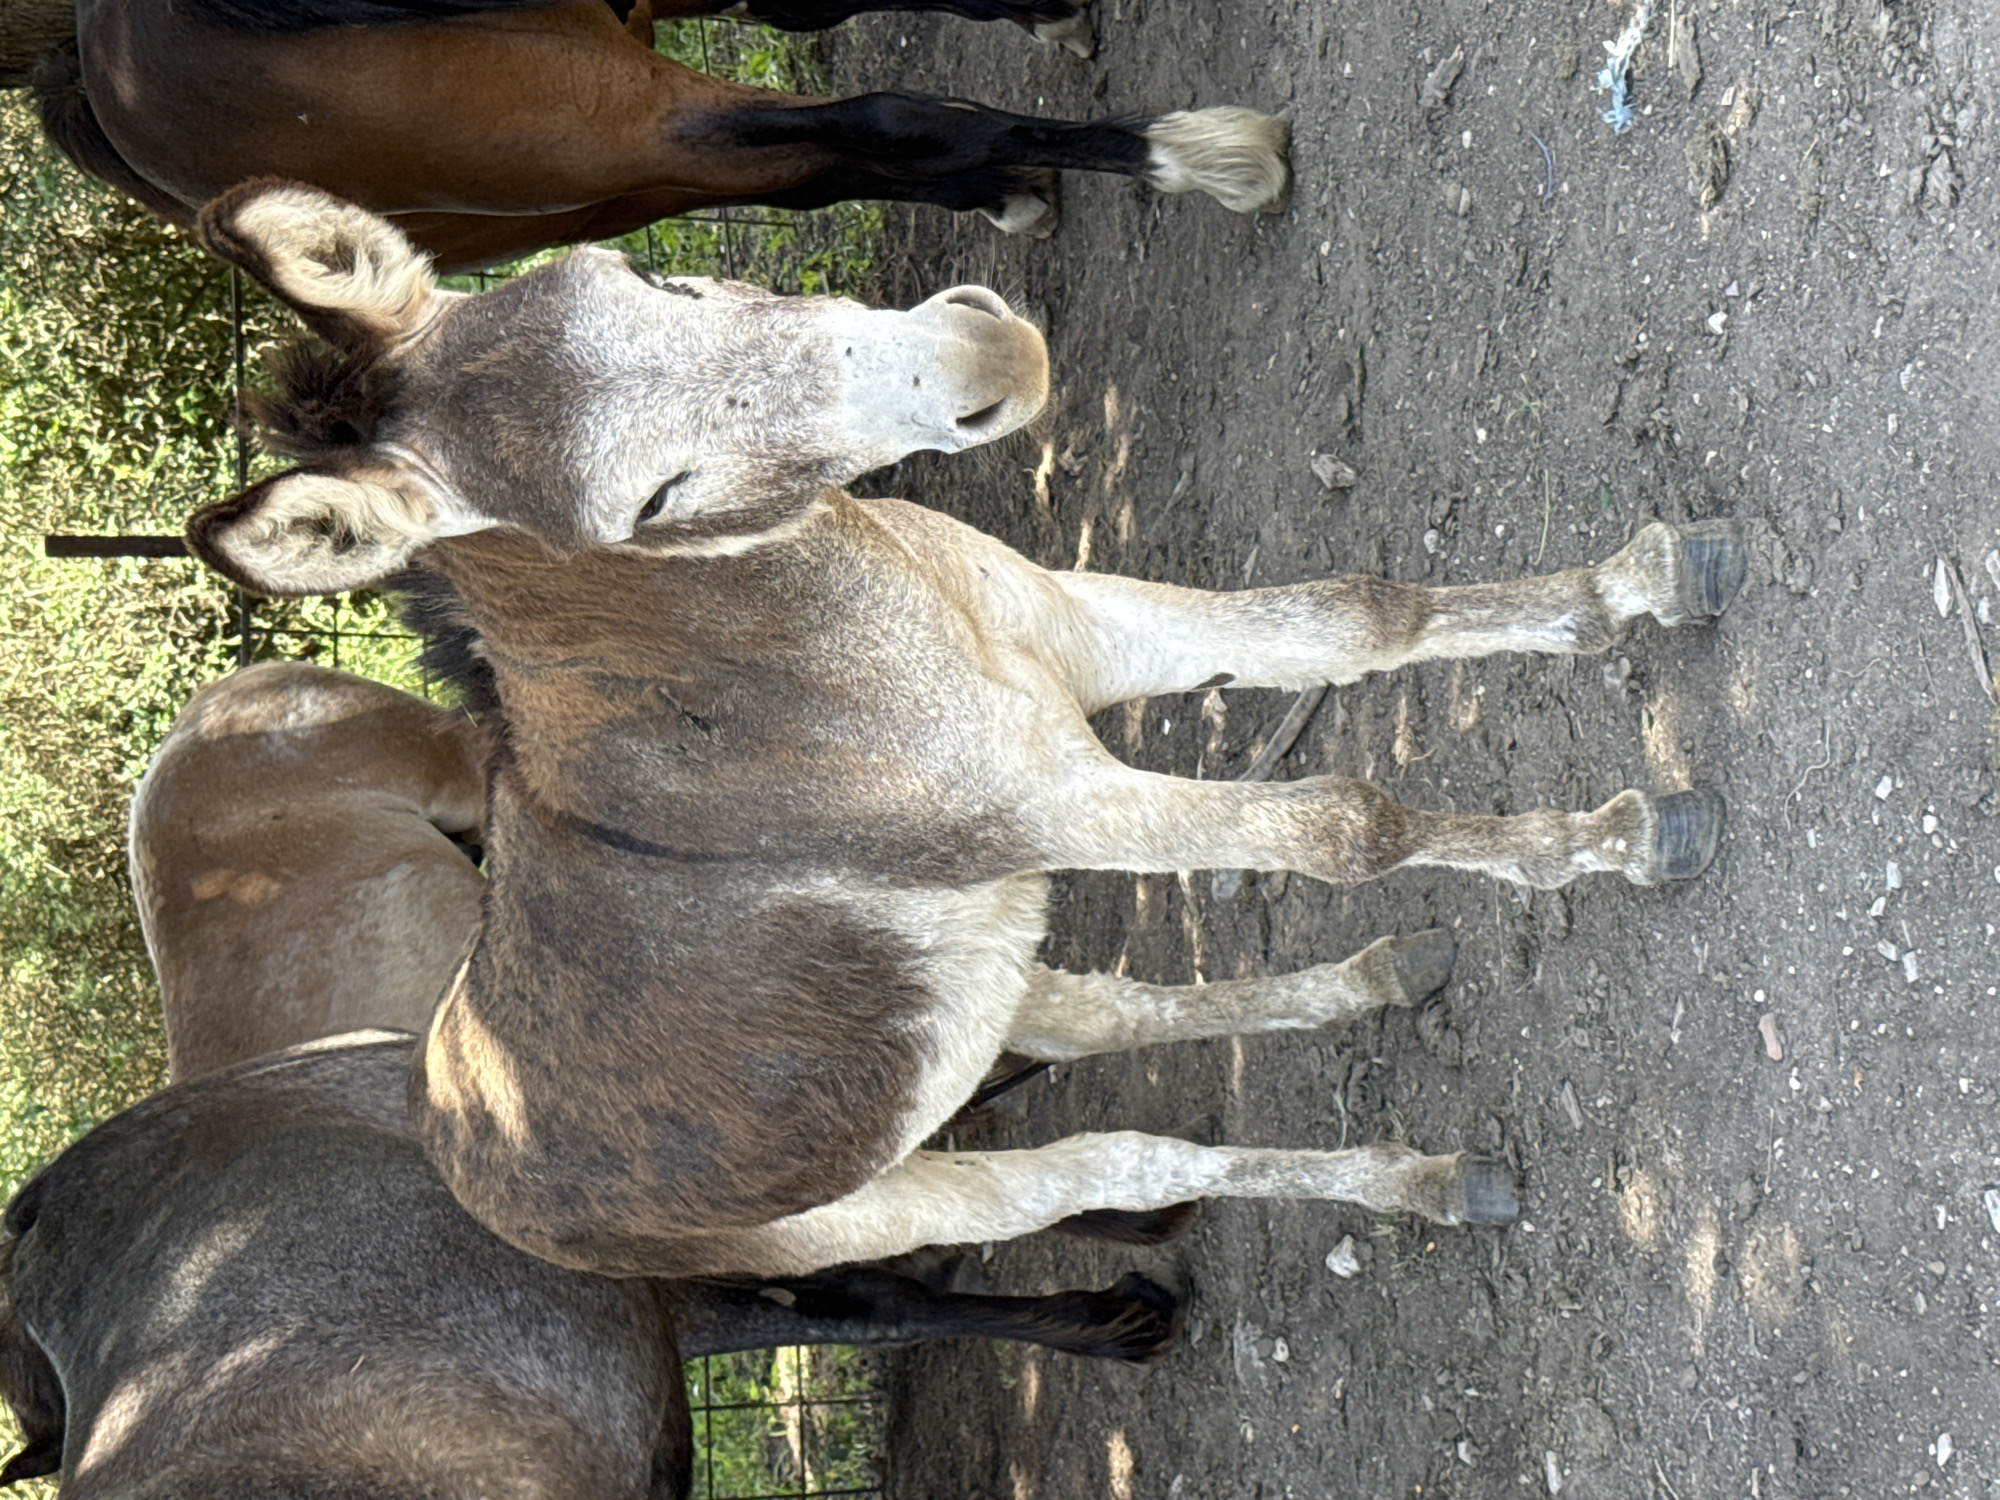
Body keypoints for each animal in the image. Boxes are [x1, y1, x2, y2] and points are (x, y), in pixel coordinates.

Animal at [185, 181, 1744, 1284]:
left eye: (652, 274)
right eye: (652, 504)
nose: (984, 346)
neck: (805, 658)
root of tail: (447, 1133)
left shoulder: (1080, 632)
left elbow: (1357, 616)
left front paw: (1643, 582)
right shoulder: (1054, 799)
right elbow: (1340, 823)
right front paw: (1627, 835)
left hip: (973, 974)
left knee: (1116, 1015)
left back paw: (1375, 982)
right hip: (886, 1201)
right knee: (1119, 1164)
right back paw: (1418, 1180)